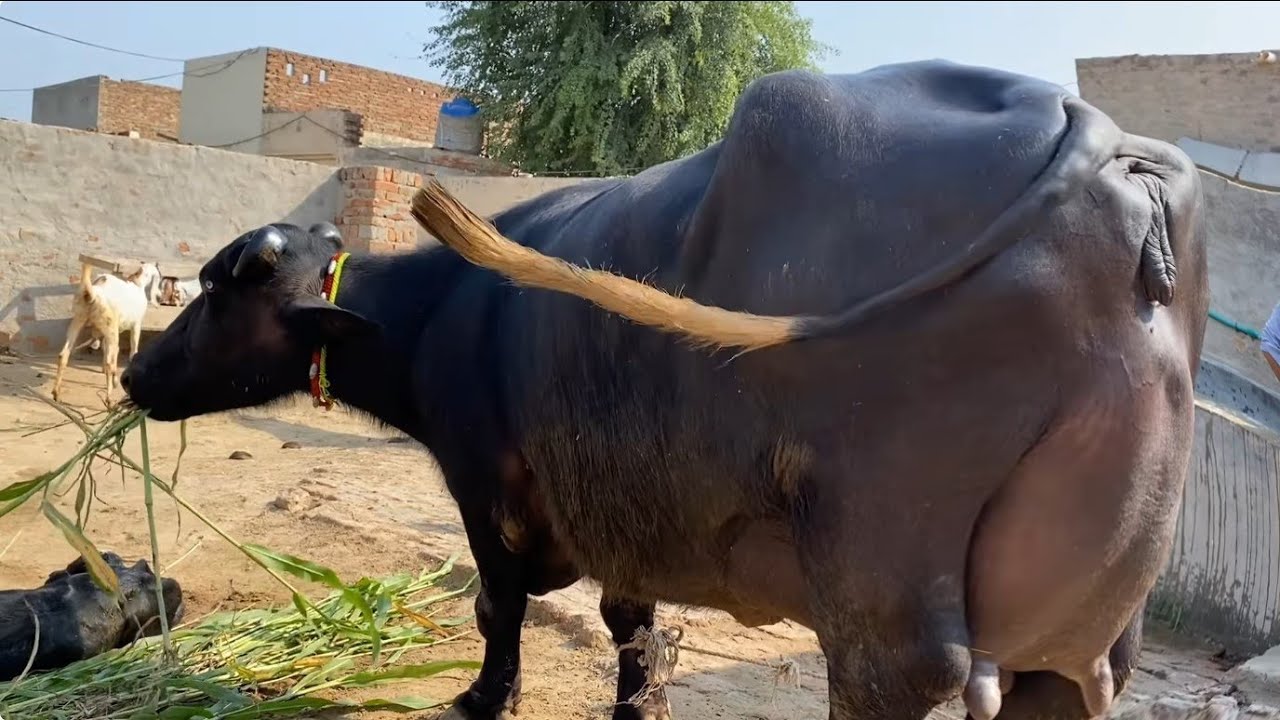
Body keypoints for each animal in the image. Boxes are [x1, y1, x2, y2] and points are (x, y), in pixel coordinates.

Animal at [121, 59, 1209, 720]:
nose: (132, 371)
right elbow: (628, 624)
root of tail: (1103, 146)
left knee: (895, 670)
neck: (446, 310)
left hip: (884, 570)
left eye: (216, 289)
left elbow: (498, 607)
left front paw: (480, 697)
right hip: (1085, 618)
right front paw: (635, 702)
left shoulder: (483, 482)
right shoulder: (625, 502)